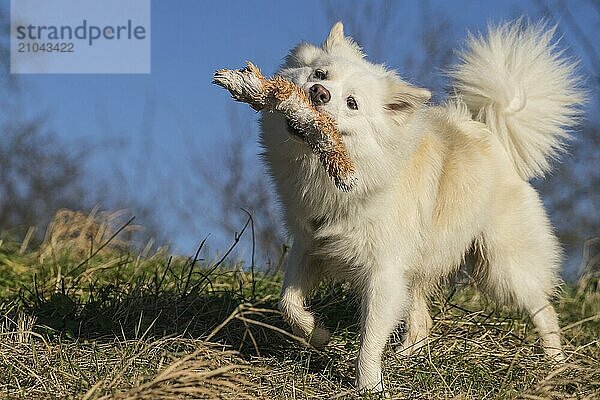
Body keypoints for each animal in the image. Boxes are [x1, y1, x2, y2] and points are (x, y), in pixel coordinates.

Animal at [258, 20, 584, 392]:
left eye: (352, 103)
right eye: (319, 73)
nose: (318, 93)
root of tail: (493, 136)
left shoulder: (383, 272)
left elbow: (370, 339)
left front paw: (369, 387)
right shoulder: (310, 246)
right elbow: (288, 302)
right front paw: (319, 334)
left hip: (502, 266)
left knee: (544, 309)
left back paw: (554, 365)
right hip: (418, 268)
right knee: (423, 321)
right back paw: (404, 358)